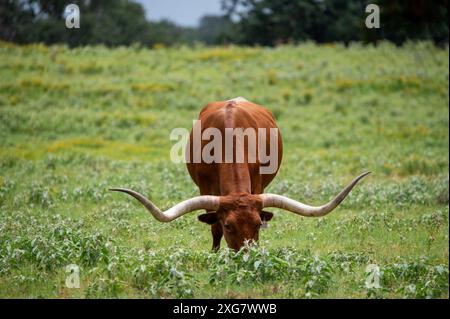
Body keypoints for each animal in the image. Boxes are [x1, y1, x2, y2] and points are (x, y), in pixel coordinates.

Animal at [110, 97, 370, 252]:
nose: (247, 256)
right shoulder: (206, 189)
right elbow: (213, 227)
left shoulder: (257, 184)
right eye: (228, 226)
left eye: (256, 224)